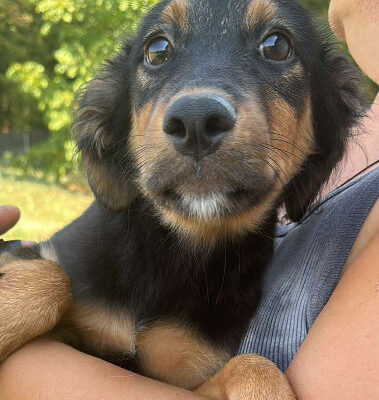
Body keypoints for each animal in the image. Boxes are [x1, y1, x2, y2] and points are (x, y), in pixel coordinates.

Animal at [0, 0, 362, 396]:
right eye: (157, 49)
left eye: (277, 45)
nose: (196, 122)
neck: (174, 252)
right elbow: (50, 277)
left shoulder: (185, 371)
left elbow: (254, 365)